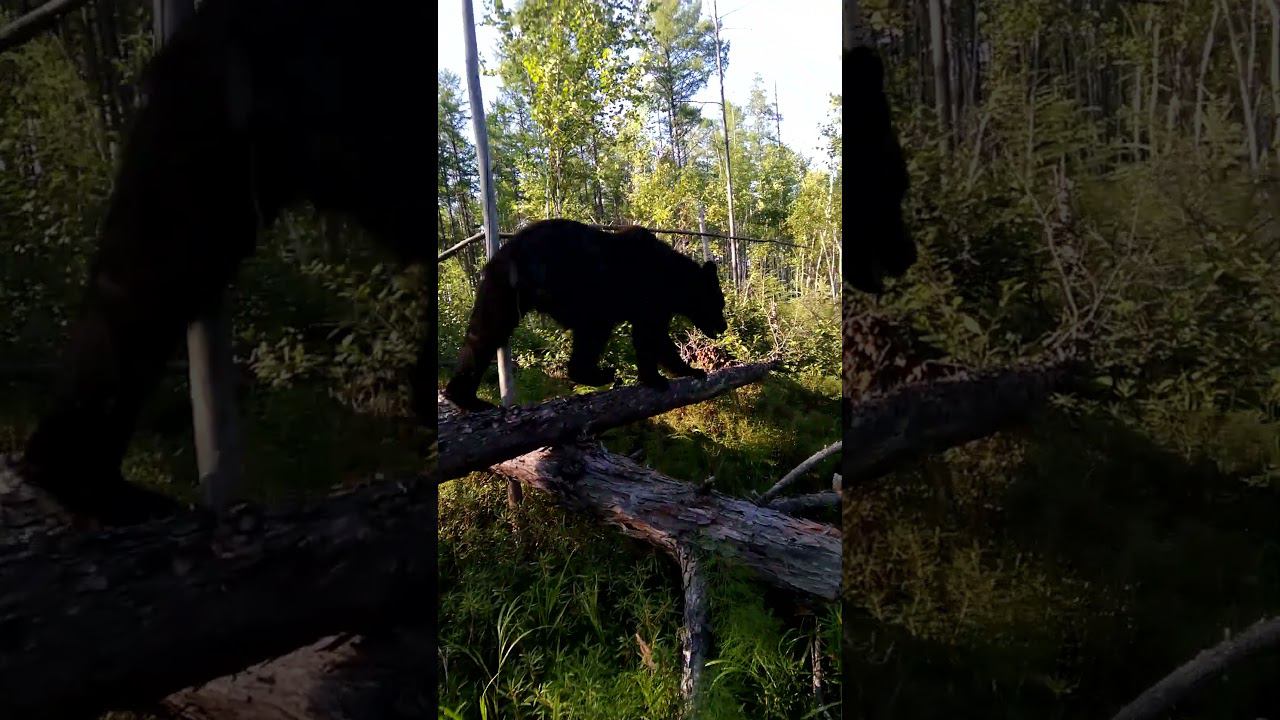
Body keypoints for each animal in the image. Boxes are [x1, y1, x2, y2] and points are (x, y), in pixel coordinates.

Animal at [442, 219, 729, 412]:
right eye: (720, 303)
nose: (724, 326)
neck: (673, 281)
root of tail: (505, 253)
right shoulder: (649, 301)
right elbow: (653, 337)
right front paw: (677, 373)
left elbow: (649, 338)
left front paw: (665, 375)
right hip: (570, 291)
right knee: (591, 332)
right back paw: (600, 374)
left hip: (501, 293)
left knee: (482, 336)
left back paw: (465, 398)